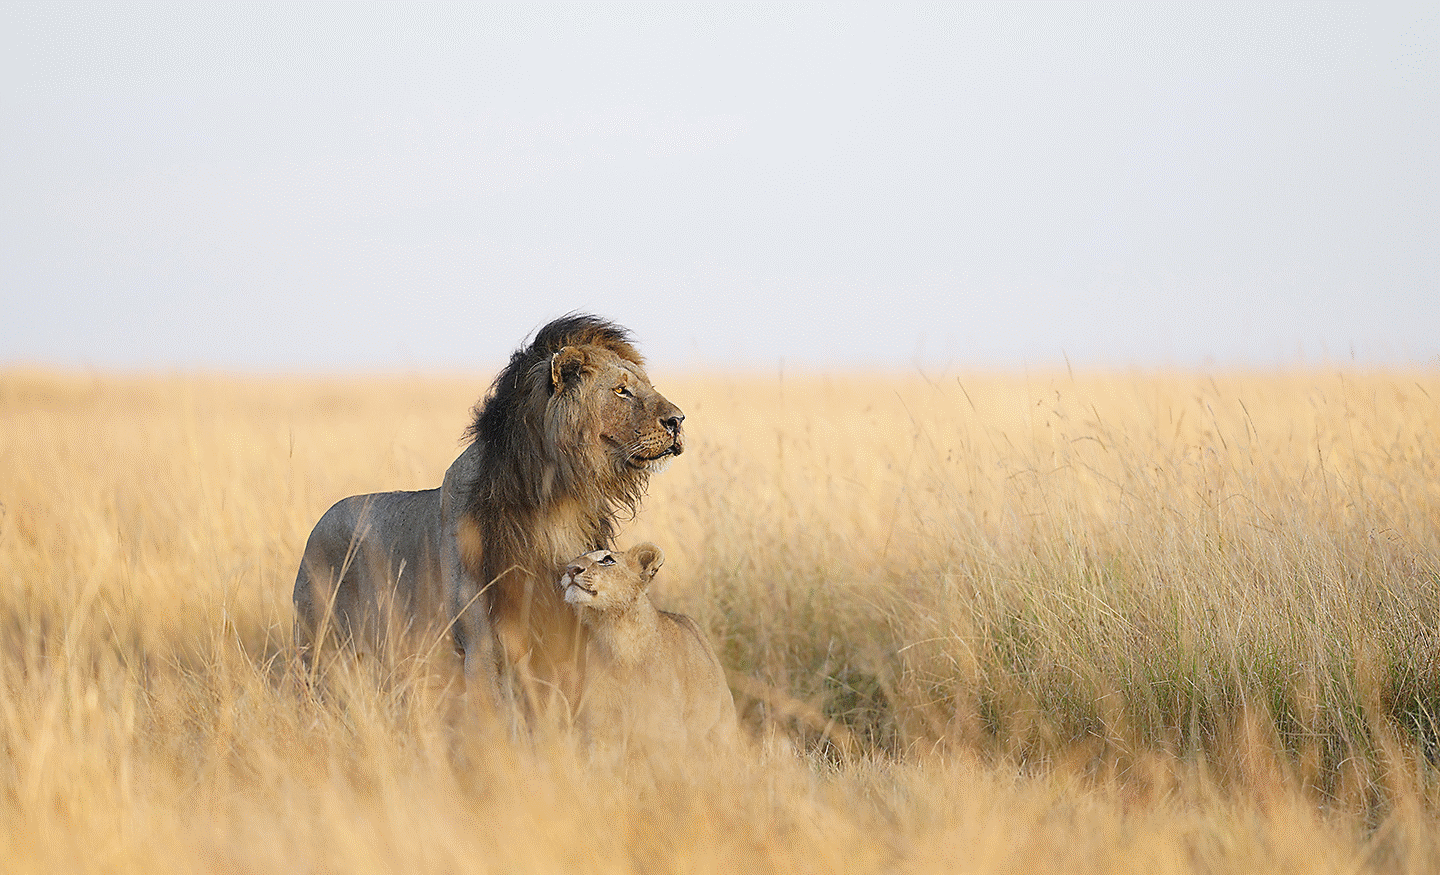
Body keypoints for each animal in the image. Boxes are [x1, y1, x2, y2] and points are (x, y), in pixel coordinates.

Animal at [292, 314, 685, 714]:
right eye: (621, 391)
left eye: (647, 387)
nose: (678, 420)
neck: (557, 503)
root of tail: (318, 525)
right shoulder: (482, 644)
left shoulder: (562, 635)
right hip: (319, 651)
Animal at [561, 543, 740, 758]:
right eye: (576, 558)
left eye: (607, 560)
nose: (571, 569)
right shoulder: (603, 728)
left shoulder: (666, 730)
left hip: (723, 728)